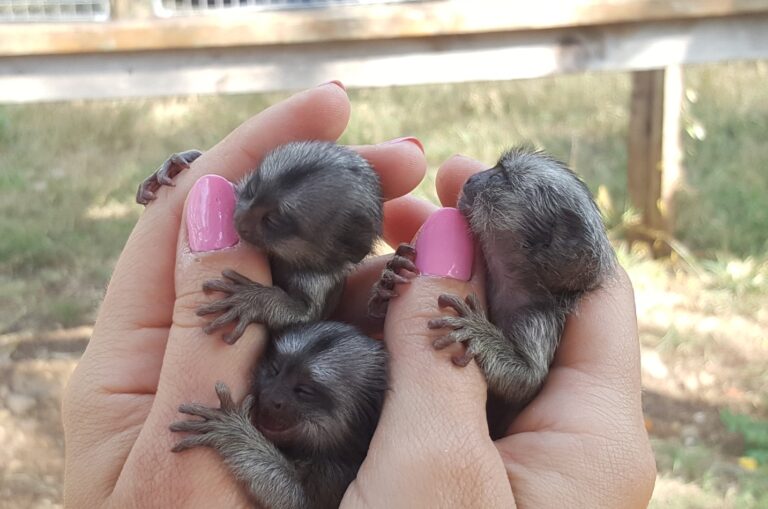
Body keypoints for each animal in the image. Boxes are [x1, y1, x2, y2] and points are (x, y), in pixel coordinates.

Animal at [137, 141, 384, 344]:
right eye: (253, 189)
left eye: (273, 220)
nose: (239, 218)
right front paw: (178, 163)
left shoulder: (319, 280)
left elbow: (306, 318)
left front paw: (251, 301)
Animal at [169, 321, 388, 509]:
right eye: (275, 370)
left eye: (303, 390)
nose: (269, 397)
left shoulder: (336, 475)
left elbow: (296, 500)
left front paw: (231, 430)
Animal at [370, 147, 616, 439]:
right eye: (495, 169)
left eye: (501, 177)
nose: (472, 178)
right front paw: (388, 281)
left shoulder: (537, 317)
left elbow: (527, 381)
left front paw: (477, 332)